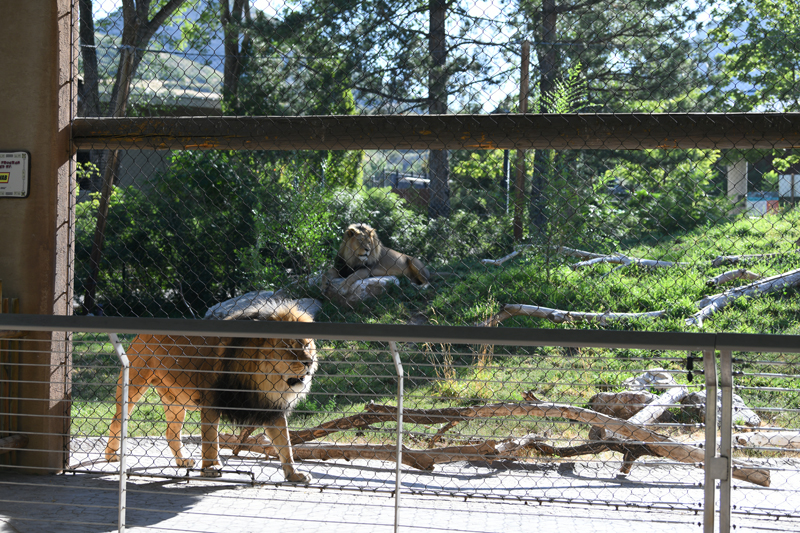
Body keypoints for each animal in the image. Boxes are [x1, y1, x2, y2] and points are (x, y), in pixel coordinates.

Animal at [104, 300, 317, 483]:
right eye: (289, 347)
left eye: (307, 345)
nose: (309, 362)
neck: (261, 379)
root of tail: (140, 334)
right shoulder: (211, 400)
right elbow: (210, 438)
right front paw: (211, 467)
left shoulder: (270, 408)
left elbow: (285, 445)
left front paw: (294, 474)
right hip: (133, 386)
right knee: (117, 420)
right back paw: (111, 454)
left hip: (175, 402)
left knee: (171, 432)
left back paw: (182, 461)